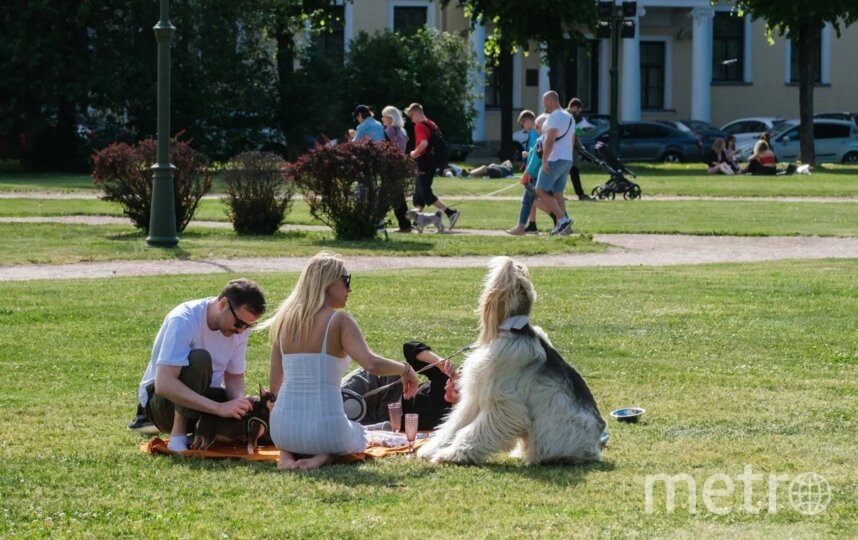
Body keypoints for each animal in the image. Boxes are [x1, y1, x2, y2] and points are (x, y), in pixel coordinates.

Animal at [418, 256, 604, 464]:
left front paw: (452, 454)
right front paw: (430, 449)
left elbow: (472, 431)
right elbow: (454, 425)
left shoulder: (503, 403)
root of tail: (595, 448)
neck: (515, 331)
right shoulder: (475, 395)